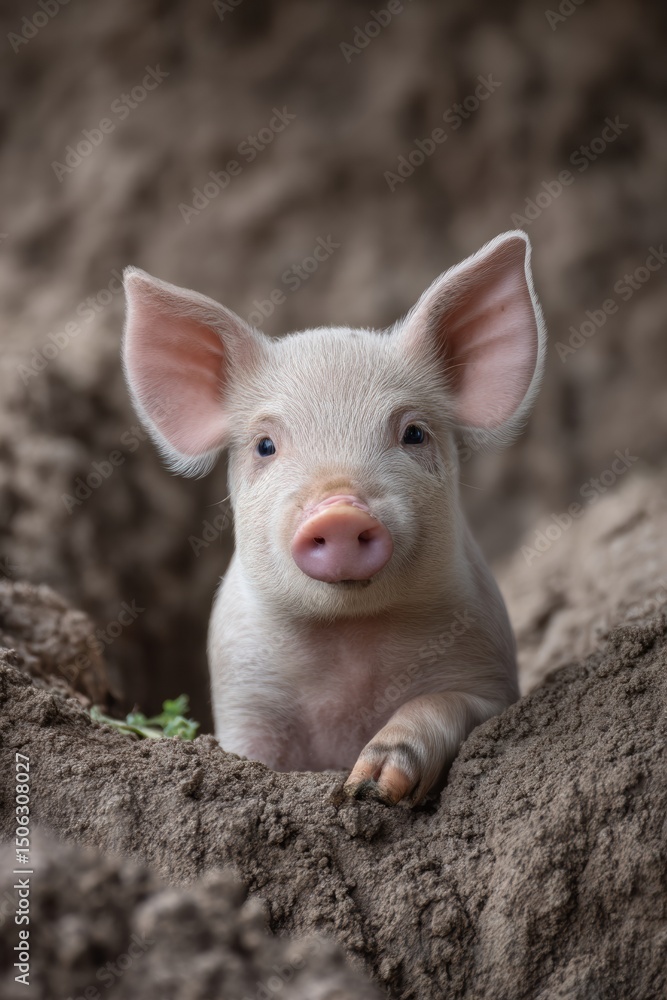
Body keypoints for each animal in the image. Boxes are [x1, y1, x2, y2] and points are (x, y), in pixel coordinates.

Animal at [122, 230, 545, 807]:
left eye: (413, 433)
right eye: (265, 445)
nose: (340, 510)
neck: (350, 643)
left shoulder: (490, 669)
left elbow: (447, 703)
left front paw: (371, 784)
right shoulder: (242, 694)